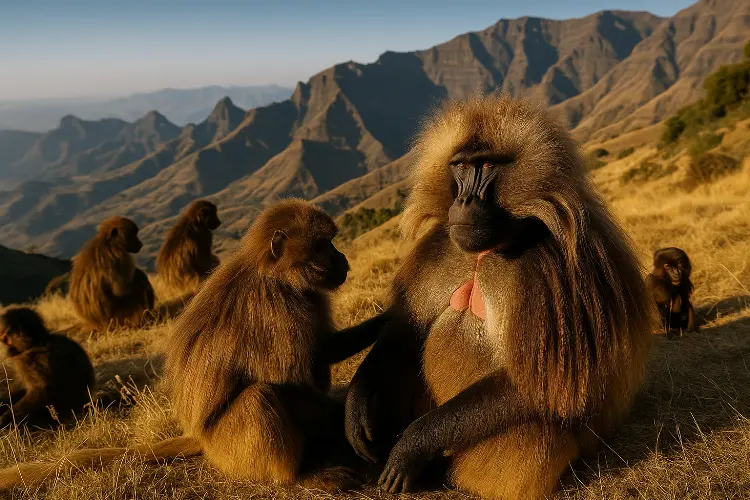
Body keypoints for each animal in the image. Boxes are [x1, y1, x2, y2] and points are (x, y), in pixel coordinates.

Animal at [0, 199, 385, 491]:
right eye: (323, 245)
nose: (342, 259)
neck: (275, 274)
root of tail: (199, 438)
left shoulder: (309, 298)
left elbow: (324, 352)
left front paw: (387, 319)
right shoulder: (279, 309)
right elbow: (292, 384)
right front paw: (346, 419)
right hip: (230, 449)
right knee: (260, 397)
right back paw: (296, 477)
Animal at [343, 95, 655, 499]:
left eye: (487, 166)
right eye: (460, 167)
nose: (464, 200)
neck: (487, 251)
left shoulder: (549, 269)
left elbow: (542, 383)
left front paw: (411, 445)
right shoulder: (440, 246)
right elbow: (403, 331)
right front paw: (358, 404)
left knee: (536, 435)